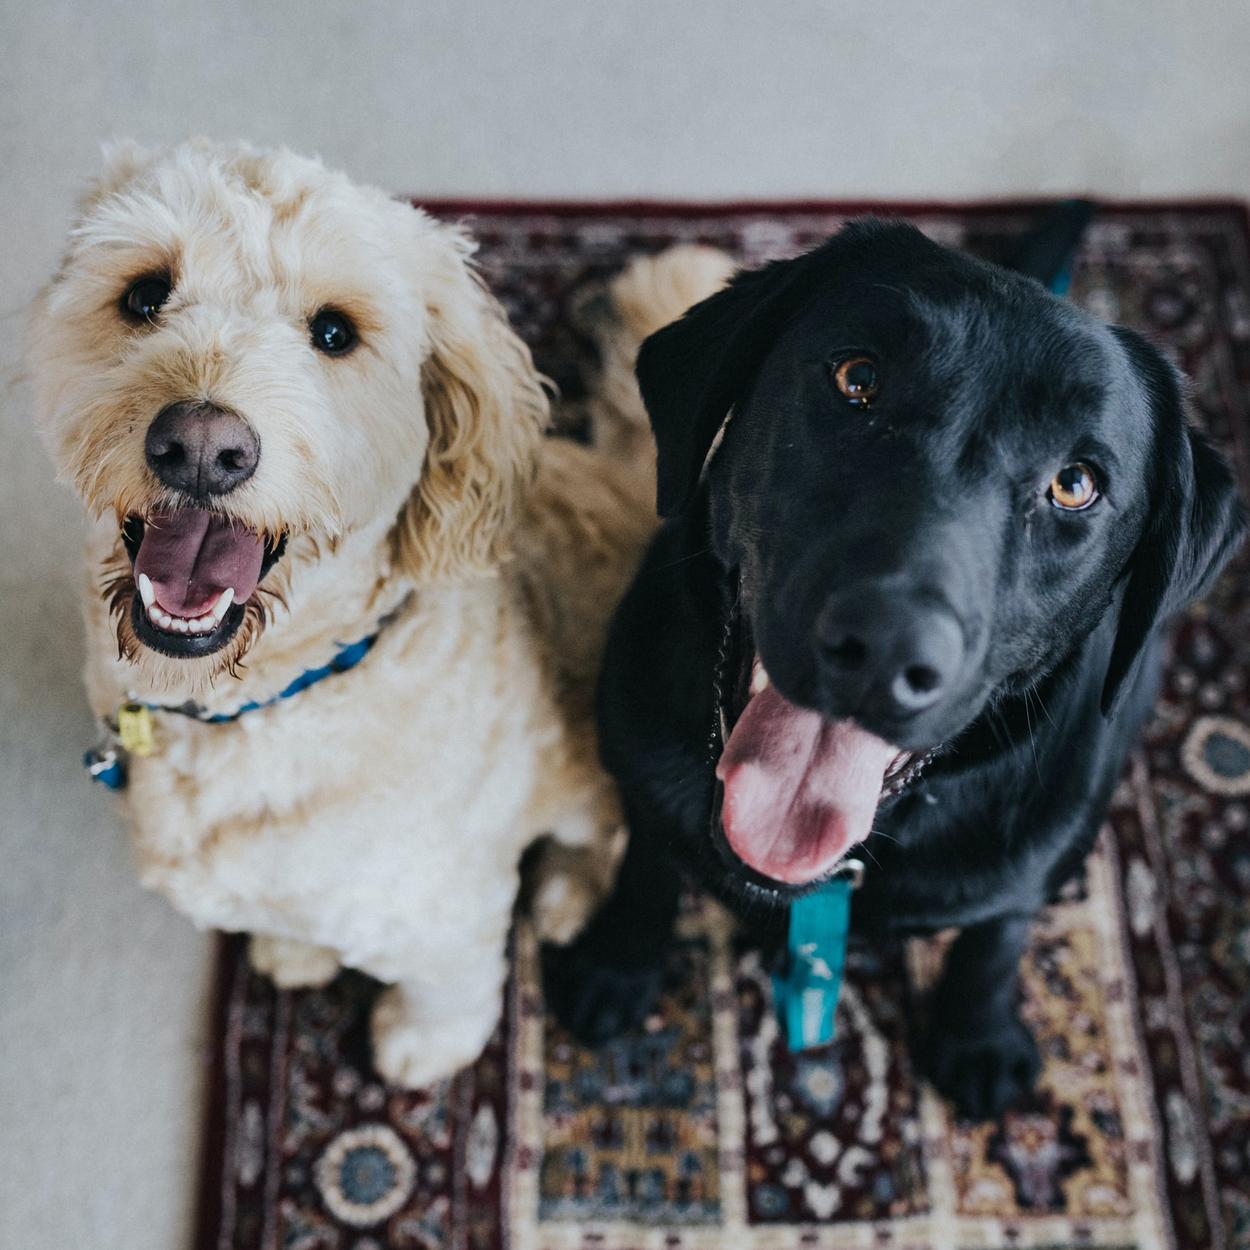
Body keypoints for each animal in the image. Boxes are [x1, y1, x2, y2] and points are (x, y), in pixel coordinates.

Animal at [31, 139, 730, 1085]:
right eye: (144, 294)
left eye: (334, 333)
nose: (202, 448)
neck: (266, 700)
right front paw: (296, 951)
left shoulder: (443, 905)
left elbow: (448, 986)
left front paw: (420, 1045)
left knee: (605, 835)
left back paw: (565, 894)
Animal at [550, 220, 1250, 1120]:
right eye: (858, 379)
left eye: (1076, 483)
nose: (885, 648)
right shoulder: (640, 760)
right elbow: (646, 860)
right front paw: (618, 960)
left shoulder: (1024, 859)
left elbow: (997, 936)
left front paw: (977, 1036)